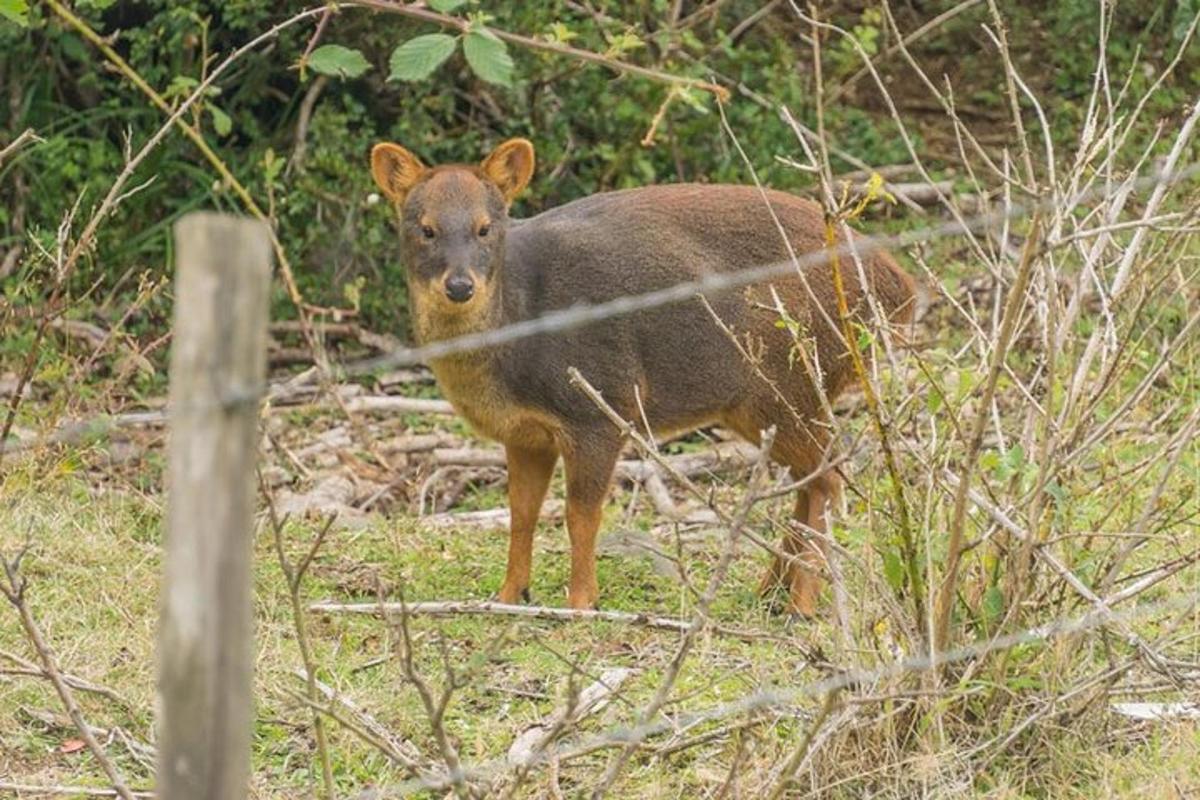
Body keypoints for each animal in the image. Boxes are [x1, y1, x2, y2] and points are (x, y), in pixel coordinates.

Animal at [369, 137, 912, 618]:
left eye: (486, 228)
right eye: (425, 228)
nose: (460, 286)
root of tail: (898, 289)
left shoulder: (600, 405)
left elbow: (581, 514)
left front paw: (581, 604)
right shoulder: (524, 433)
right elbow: (521, 513)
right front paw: (508, 597)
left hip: (788, 377)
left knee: (829, 476)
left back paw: (802, 605)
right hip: (765, 401)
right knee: (812, 478)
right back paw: (770, 591)